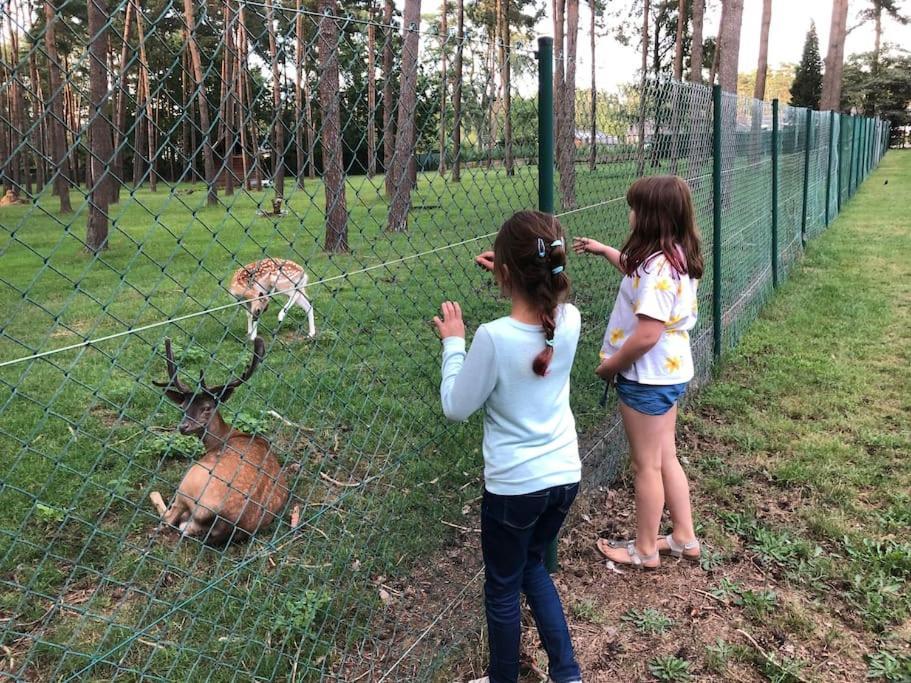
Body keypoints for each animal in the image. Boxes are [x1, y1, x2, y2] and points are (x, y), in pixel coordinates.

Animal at [150, 336, 290, 544]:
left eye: (207, 407)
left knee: (169, 518)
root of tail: (225, 521)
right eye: (183, 406)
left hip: (190, 481)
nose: (184, 427)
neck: (224, 437)